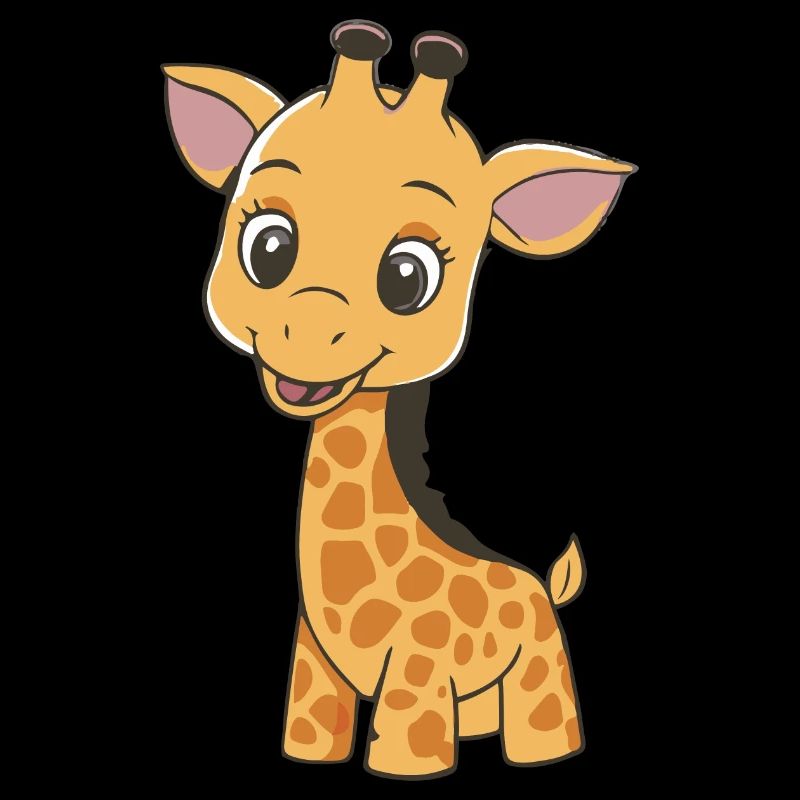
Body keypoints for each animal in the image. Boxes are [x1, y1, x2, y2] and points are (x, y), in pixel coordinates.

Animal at [163, 20, 635, 778]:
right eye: (269, 247)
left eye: (408, 277)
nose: (307, 334)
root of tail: (540, 579)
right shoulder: (312, 658)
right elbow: (310, 729)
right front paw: (309, 760)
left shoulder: (418, 675)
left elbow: (408, 750)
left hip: (540, 665)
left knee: (545, 722)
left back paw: (545, 758)